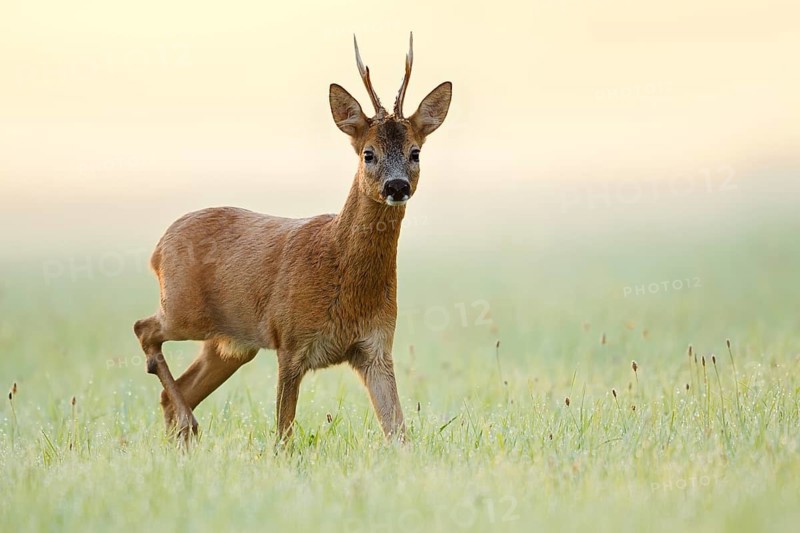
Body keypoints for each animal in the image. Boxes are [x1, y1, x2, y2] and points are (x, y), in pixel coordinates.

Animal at [133, 33, 451, 445]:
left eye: (415, 152)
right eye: (368, 154)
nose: (396, 186)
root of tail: (157, 249)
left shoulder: (376, 347)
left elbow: (399, 433)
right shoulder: (290, 339)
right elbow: (283, 435)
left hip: (232, 344)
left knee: (175, 392)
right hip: (183, 310)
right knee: (144, 329)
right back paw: (189, 424)